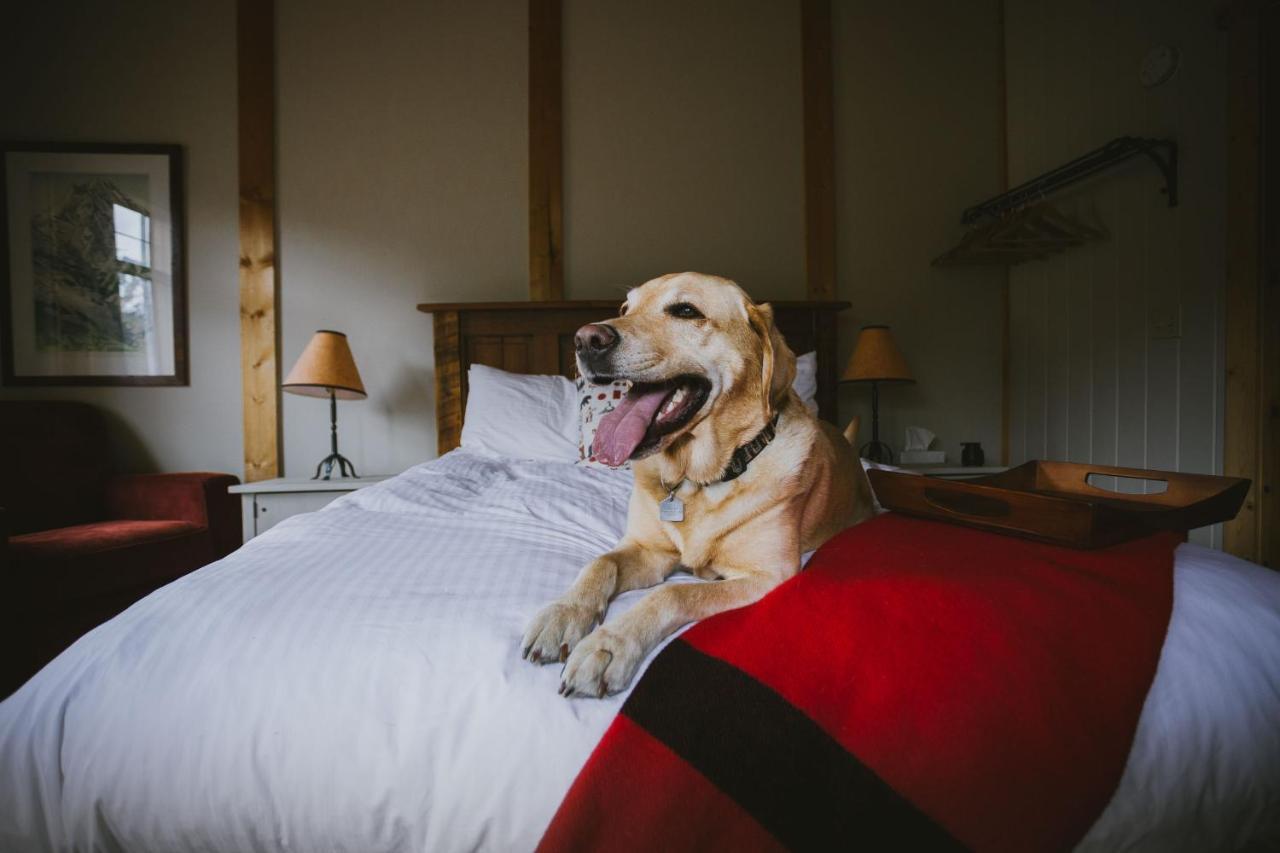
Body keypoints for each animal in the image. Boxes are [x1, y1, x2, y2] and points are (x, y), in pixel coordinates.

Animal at [519, 268, 870, 696]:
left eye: (685, 311)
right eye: (625, 309)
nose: (586, 339)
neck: (695, 479)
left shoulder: (768, 577)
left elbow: (672, 592)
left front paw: (609, 645)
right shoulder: (648, 550)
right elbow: (600, 563)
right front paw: (564, 613)